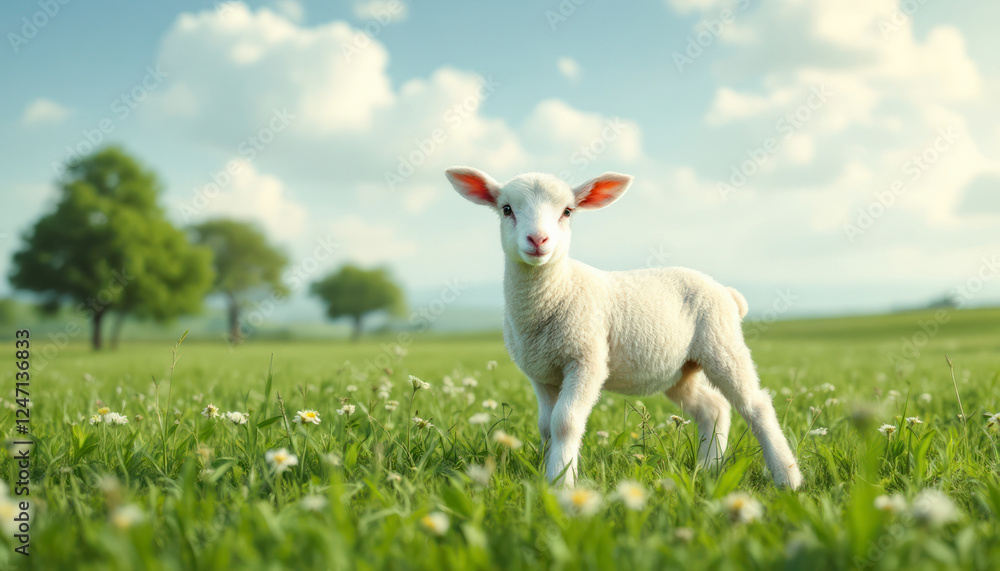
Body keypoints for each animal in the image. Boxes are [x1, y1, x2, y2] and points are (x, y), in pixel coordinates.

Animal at [445, 166, 803, 490]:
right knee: (712, 408)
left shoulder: (587, 360)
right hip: (681, 369)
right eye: (506, 209)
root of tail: (727, 292)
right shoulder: (541, 373)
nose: (538, 239)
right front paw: (550, 473)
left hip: (722, 343)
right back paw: (708, 469)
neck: (557, 292)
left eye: (567, 211)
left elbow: (565, 422)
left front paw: (562, 484)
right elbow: (546, 426)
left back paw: (788, 478)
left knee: (756, 406)